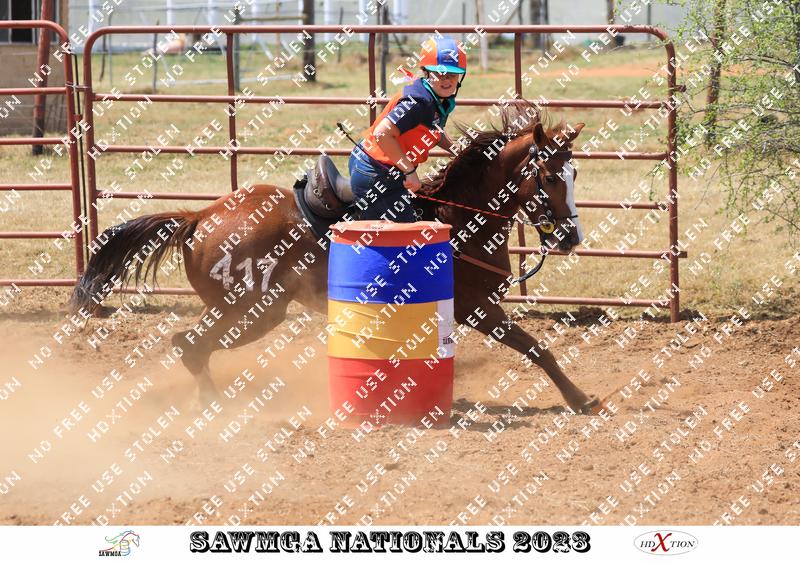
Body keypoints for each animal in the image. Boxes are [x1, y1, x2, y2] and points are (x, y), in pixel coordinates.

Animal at [69, 100, 605, 415]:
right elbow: (536, 347)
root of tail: (200, 216)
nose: (570, 237)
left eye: (576, 175)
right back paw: (214, 404)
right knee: (189, 345)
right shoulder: (477, 307)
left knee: (190, 346)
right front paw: (580, 399)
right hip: (250, 309)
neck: (459, 216)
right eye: (551, 177)